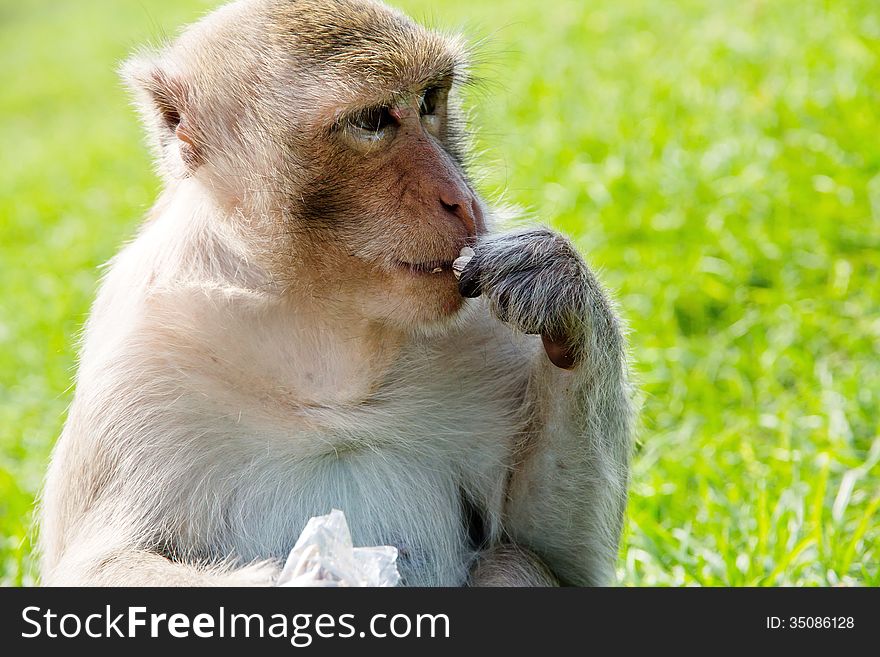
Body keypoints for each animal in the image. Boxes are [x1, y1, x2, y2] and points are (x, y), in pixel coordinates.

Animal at [39, 0, 632, 584]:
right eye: (372, 121)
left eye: (429, 100)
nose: (462, 201)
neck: (326, 337)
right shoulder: (141, 363)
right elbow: (100, 564)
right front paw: (318, 573)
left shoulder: (483, 323)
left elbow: (557, 554)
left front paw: (559, 284)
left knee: (514, 563)